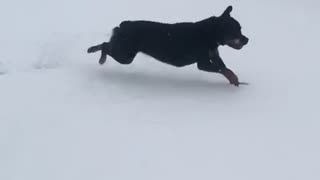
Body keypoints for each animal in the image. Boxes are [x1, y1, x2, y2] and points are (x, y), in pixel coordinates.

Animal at [88, 5, 250, 86]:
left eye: (240, 29)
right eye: (236, 31)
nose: (247, 39)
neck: (211, 33)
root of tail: (123, 25)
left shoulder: (214, 56)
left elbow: (225, 68)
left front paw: (235, 81)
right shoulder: (203, 63)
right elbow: (223, 69)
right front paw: (234, 79)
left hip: (124, 52)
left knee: (107, 44)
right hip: (125, 55)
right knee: (105, 45)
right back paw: (99, 57)